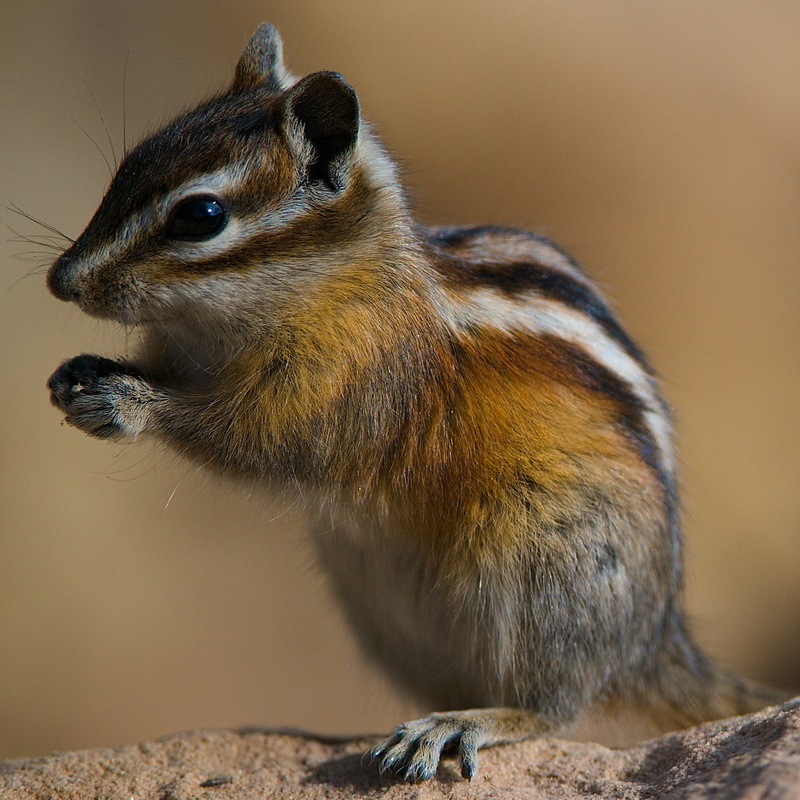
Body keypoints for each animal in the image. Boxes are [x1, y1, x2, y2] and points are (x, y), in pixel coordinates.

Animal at [46, 23, 786, 781]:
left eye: (200, 215)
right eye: (131, 161)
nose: (61, 280)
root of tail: (651, 642)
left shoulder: (355, 387)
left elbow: (262, 439)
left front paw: (131, 404)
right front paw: (79, 375)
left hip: (544, 568)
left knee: (556, 708)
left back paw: (464, 724)